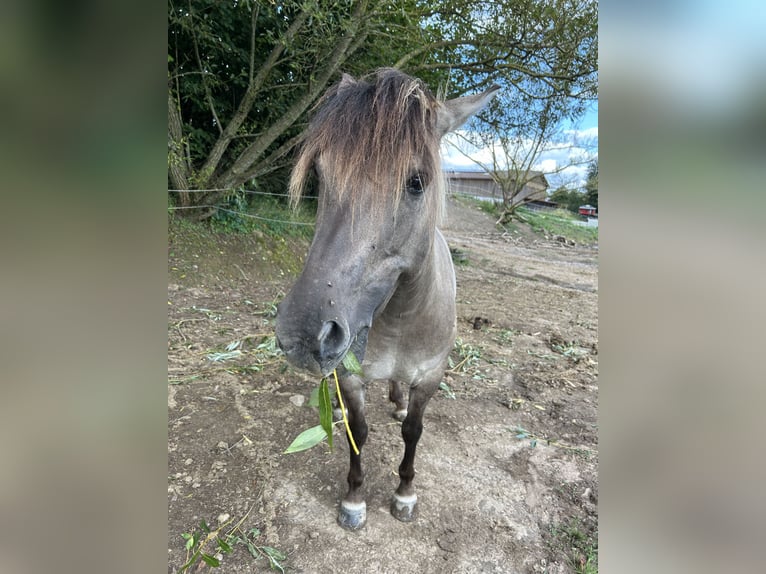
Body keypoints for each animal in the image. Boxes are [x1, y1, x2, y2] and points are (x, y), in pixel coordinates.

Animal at [276, 68, 498, 532]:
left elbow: (413, 431)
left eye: (416, 182)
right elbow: (358, 433)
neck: (400, 317)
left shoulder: (430, 376)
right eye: (320, 174)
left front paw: (405, 493)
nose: (302, 335)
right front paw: (354, 499)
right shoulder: (351, 376)